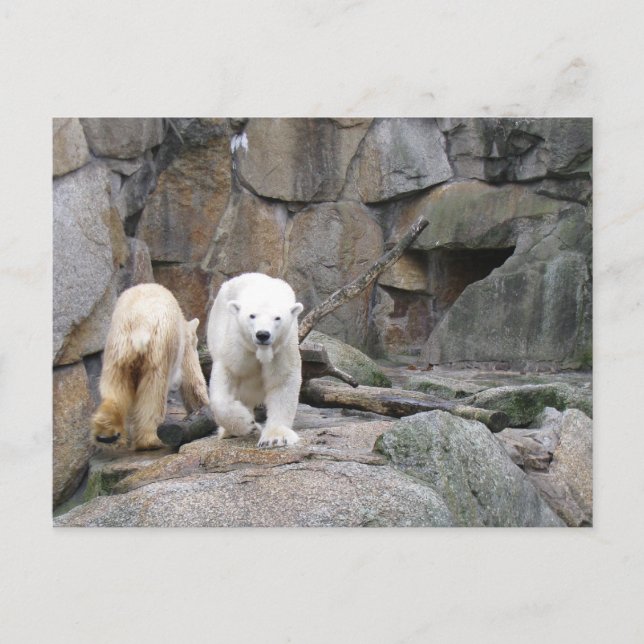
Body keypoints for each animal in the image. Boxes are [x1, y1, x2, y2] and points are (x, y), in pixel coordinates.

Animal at [91, 283, 209, 450]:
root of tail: (140, 325)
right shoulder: (182, 346)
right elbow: (192, 380)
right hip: (159, 348)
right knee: (154, 391)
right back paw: (152, 440)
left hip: (117, 349)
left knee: (115, 388)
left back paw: (106, 434)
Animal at [206, 272, 304, 448]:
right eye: (252, 315)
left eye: (277, 318)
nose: (263, 334)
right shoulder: (237, 345)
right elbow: (227, 374)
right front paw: (246, 424)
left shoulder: (282, 349)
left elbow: (282, 380)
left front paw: (275, 437)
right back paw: (230, 432)